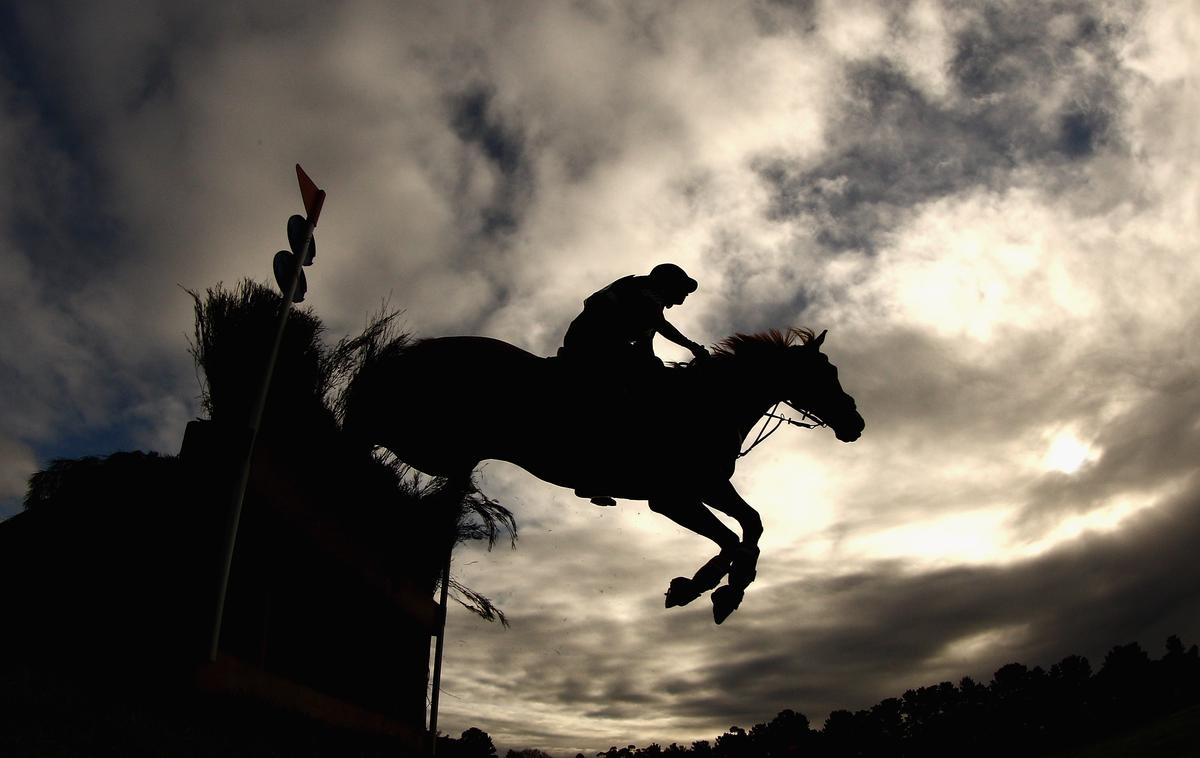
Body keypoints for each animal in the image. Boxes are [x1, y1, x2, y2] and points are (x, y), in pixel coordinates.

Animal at [340, 326, 864, 623]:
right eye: (825, 372)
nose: (855, 424)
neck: (707, 403)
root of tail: (408, 354)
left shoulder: (707, 486)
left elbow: (751, 527)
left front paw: (725, 590)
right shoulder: (673, 497)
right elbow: (734, 537)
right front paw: (701, 587)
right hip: (424, 442)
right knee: (360, 434)